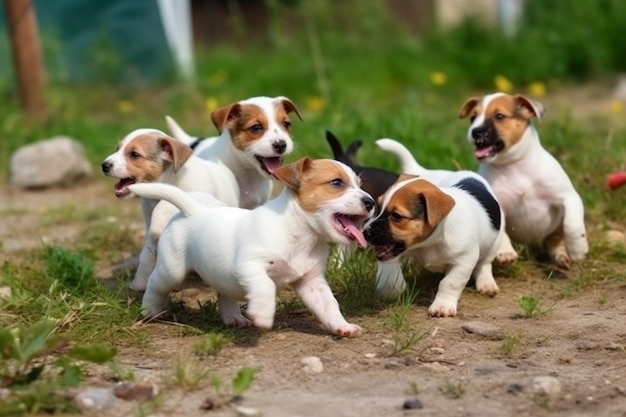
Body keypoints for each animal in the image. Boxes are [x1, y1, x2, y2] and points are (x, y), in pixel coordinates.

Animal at [101, 129, 240, 290]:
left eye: (134, 154)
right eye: (117, 149)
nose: (104, 165)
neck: (170, 180)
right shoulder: (148, 223)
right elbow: (146, 257)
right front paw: (138, 284)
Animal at [124, 158, 372, 336]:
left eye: (360, 185)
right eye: (337, 183)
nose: (370, 202)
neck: (301, 235)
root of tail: (192, 210)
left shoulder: (312, 283)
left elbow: (330, 305)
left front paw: (342, 326)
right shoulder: (250, 266)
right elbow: (266, 286)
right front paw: (262, 314)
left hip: (218, 274)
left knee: (225, 294)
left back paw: (233, 318)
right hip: (172, 271)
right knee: (155, 284)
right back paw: (150, 310)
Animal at [360, 171, 502, 316]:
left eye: (396, 216)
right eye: (378, 208)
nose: (365, 233)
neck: (428, 243)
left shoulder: (464, 261)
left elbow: (450, 282)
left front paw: (442, 306)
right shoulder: (391, 253)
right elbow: (388, 271)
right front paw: (393, 289)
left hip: (494, 244)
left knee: (484, 263)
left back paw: (486, 283)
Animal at [458, 92, 584, 266]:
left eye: (499, 116)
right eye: (473, 118)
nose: (475, 131)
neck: (514, 165)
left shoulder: (568, 197)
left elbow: (572, 224)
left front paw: (578, 250)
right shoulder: (497, 205)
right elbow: (501, 231)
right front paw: (505, 252)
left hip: (556, 227)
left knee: (555, 239)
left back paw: (561, 255)